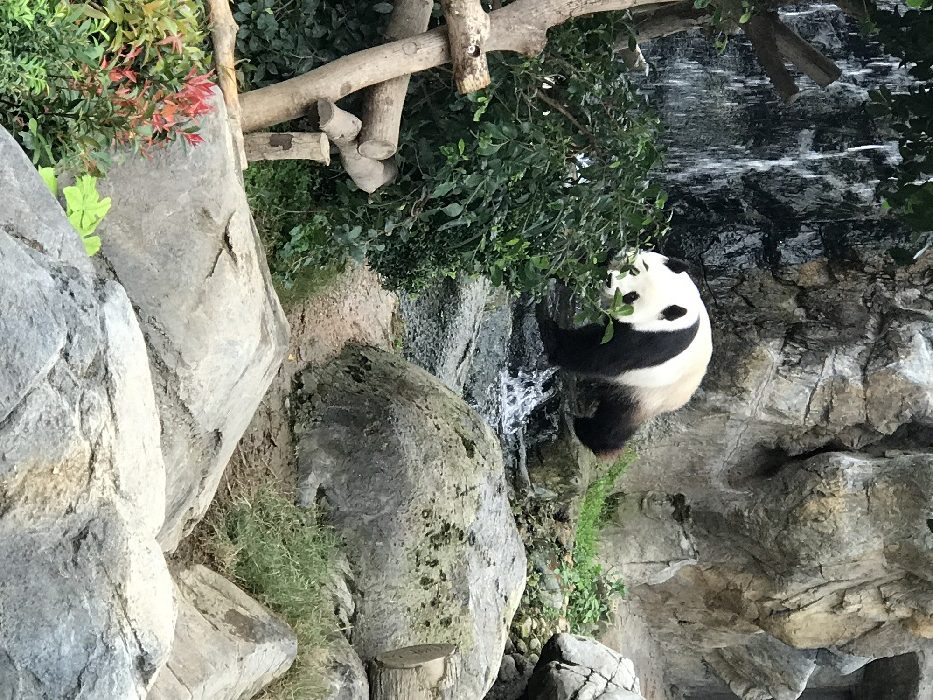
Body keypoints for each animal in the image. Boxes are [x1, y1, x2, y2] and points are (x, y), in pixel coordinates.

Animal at [540, 252, 712, 460]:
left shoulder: (653, 338)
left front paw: (550, 334)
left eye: (631, 297)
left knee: (616, 420)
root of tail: (678, 403)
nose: (608, 280)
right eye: (634, 270)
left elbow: (600, 354)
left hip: (649, 393)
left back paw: (588, 433)